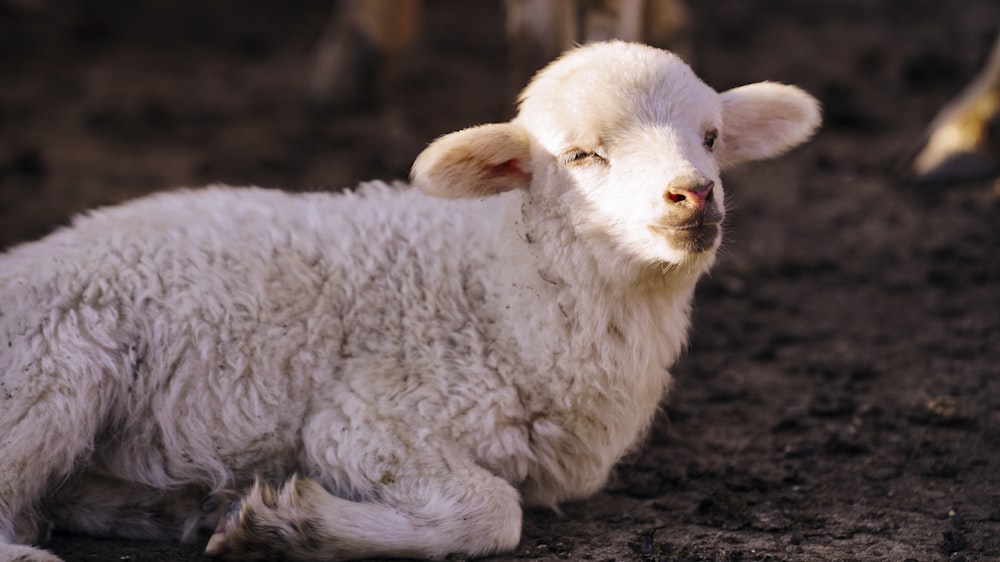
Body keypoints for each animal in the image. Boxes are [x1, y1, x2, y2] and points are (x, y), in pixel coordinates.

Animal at [0, 41, 820, 556]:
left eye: (711, 137)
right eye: (581, 155)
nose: (694, 195)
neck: (498, 293)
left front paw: (254, 520)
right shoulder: (364, 419)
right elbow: (493, 513)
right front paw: (290, 527)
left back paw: (184, 507)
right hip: (51, 366)